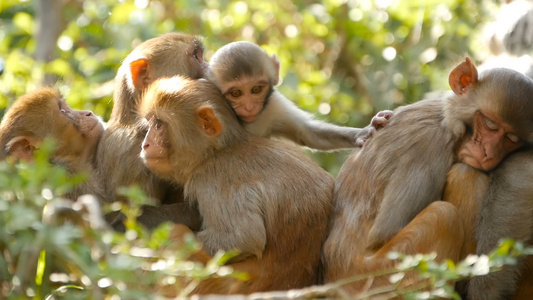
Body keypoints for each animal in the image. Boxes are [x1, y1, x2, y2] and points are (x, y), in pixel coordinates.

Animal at [137, 75, 332, 296]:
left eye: (159, 125)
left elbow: (244, 239)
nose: (145, 145)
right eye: (151, 123)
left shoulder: (213, 180)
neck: (219, 151)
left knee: (176, 233)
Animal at [205, 41, 390, 151]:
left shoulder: (273, 106)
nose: (249, 107)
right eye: (236, 93)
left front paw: (363, 133)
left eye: (256, 89)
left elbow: (306, 132)